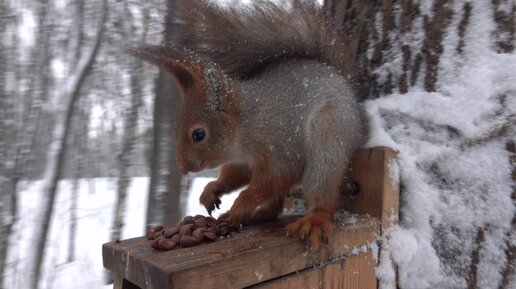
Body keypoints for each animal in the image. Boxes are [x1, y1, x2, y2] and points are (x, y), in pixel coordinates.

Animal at [131, 0, 368, 248]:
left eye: (198, 134)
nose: (183, 168)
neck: (246, 125)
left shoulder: (280, 144)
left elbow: (276, 177)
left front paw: (242, 202)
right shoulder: (241, 162)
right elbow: (236, 176)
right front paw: (212, 189)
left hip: (328, 140)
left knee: (322, 192)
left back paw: (313, 219)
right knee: (274, 208)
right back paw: (251, 216)